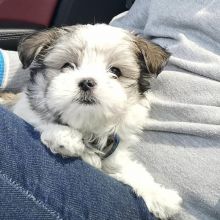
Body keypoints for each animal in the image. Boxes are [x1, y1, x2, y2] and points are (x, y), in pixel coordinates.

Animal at [13, 23, 182, 218]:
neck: (87, 126)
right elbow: (39, 120)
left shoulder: (113, 156)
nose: (87, 82)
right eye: (67, 65)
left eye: (115, 71)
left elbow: (130, 168)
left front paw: (160, 195)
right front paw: (64, 136)